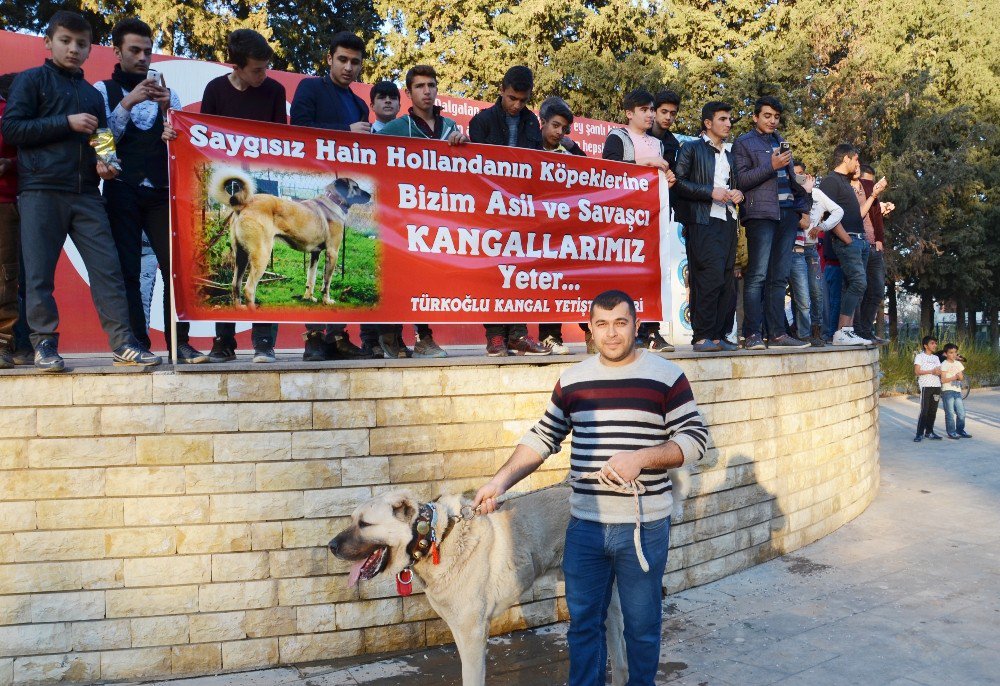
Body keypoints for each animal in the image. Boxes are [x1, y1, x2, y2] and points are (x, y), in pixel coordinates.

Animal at [209, 169, 374, 312]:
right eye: (356, 187)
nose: (370, 195)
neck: (333, 200)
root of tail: (244, 203)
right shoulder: (332, 253)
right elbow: (327, 282)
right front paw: (326, 300)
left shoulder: (315, 254)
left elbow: (311, 278)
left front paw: (308, 297)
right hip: (262, 255)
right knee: (249, 289)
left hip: (241, 256)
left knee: (235, 285)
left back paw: (239, 308)